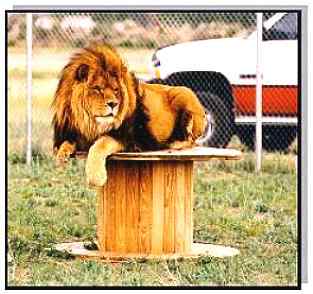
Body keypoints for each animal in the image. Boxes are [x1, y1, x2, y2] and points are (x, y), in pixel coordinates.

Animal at [52, 43, 206, 186]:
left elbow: (100, 144)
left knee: (191, 140)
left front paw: (96, 178)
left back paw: (172, 144)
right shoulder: (73, 133)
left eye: (115, 90)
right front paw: (61, 157)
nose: (113, 104)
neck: (89, 122)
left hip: (185, 93)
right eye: (97, 89)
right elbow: (66, 143)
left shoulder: (128, 137)